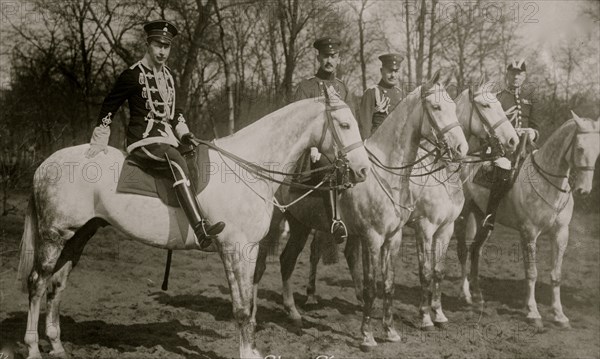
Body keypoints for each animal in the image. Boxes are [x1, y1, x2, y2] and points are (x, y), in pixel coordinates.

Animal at [16, 97, 370, 358]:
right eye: (344, 124)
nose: (363, 171)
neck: (246, 166)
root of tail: (45, 164)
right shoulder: (236, 249)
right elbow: (243, 307)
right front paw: (246, 351)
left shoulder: (244, 250)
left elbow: (246, 303)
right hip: (54, 236)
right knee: (37, 283)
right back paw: (33, 348)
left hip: (79, 235)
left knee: (58, 284)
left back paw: (57, 345)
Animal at [252, 71, 468, 352]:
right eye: (437, 107)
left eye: (454, 106)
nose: (462, 149)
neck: (387, 173)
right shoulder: (375, 237)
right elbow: (371, 287)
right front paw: (367, 337)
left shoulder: (395, 237)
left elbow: (388, 284)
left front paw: (390, 331)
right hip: (273, 226)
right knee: (259, 267)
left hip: (300, 225)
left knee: (287, 260)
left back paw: (294, 314)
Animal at [458, 112, 596, 330]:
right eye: (580, 148)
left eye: (598, 150)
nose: (584, 190)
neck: (550, 185)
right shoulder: (529, 233)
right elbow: (532, 273)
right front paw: (533, 313)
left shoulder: (561, 234)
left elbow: (556, 274)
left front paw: (559, 315)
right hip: (464, 216)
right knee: (464, 250)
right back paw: (465, 294)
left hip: (483, 220)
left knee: (476, 251)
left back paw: (478, 296)